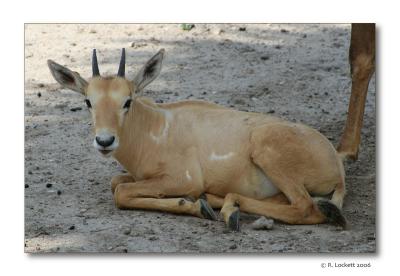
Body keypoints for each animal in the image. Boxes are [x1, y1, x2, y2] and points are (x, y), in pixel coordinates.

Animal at [47, 48, 346, 231]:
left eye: (127, 101)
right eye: (88, 101)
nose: (105, 141)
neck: (154, 127)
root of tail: (337, 165)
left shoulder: (184, 179)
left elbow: (120, 192)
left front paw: (191, 205)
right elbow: (115, 182)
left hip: (267, 151)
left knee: (306, 207)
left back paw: (224, 208)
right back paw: (220, 203)